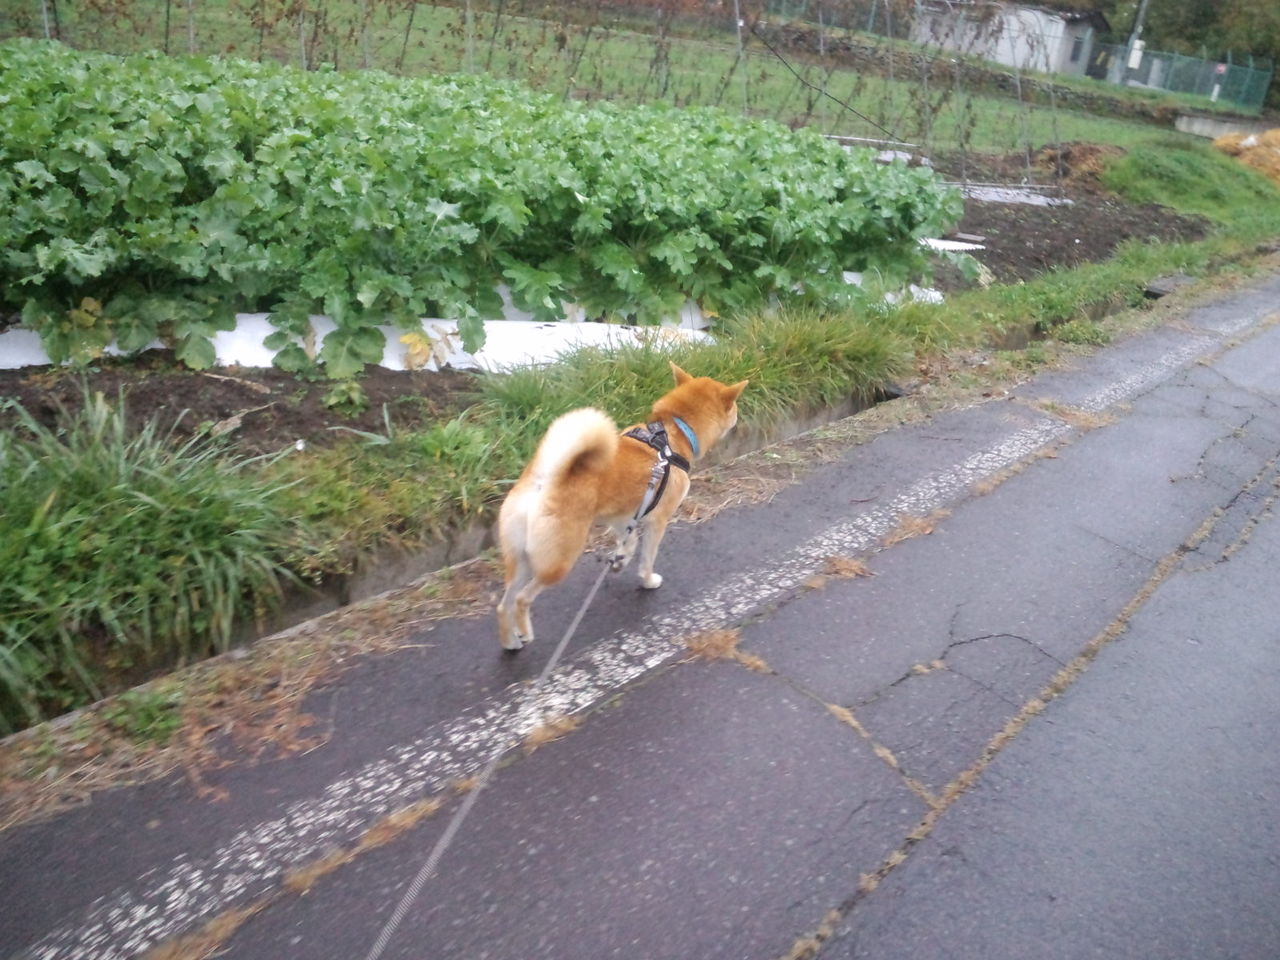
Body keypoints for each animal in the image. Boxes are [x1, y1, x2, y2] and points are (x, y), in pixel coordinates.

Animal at [496, 362, 748, 651]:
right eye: (735, 407)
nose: (739, 416)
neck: (673, 433)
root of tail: (544, 481)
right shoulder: (657, 521)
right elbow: (647, 558)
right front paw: (647, 581)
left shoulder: (623, 517)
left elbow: (629, 543)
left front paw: (619, 561)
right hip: (558, 561)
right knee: (521, 599)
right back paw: (525, 632)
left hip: (521, 558)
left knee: (503, 605)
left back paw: (510, 642)